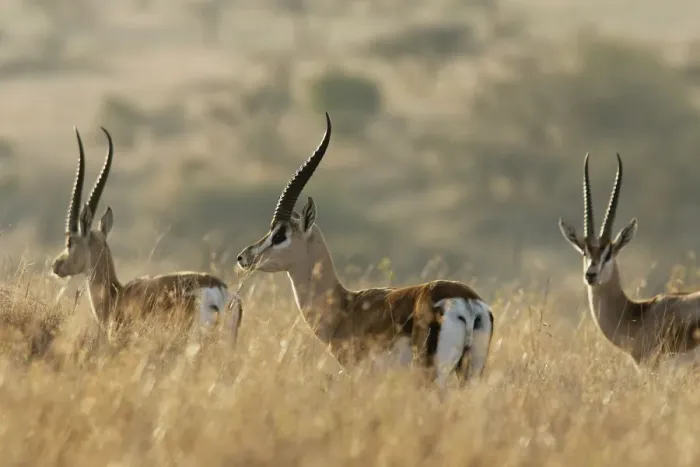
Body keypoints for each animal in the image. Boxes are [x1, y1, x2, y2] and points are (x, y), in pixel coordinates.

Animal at [237, 113, 494, 388]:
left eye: (280, 235)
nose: (244, 257)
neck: (346, 307)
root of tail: (467, 302)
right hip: (471, 373)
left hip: (433, 375)